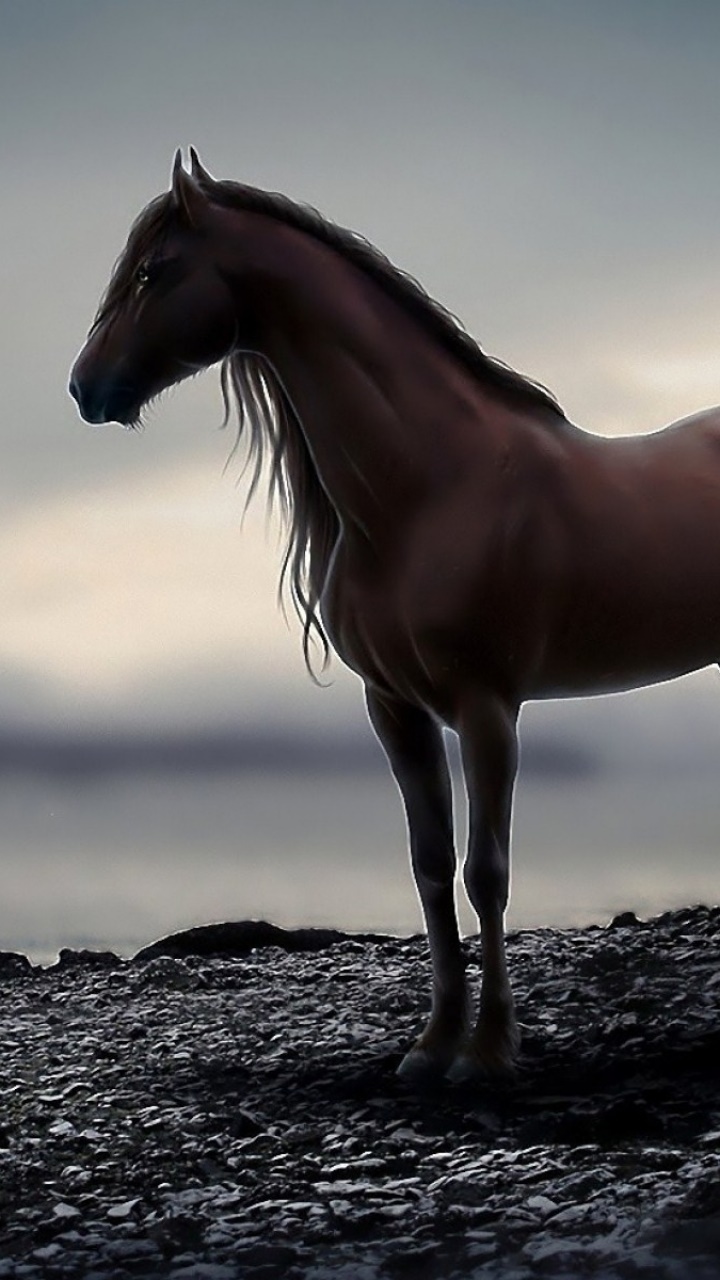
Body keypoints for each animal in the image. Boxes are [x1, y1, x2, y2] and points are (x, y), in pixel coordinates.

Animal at [70, 149, 720, 1085]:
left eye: (153, 271)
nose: (84, 386)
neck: (433, 487)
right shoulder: (396, 709)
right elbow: (430, 868)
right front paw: (433, 1042)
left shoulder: (488, 709)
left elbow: (487, 873)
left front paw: (487, 1051)